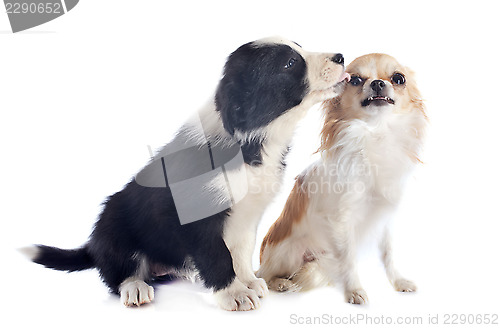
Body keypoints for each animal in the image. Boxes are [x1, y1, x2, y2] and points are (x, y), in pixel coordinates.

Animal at [23, 37, 350, 312]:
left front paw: (248, 281)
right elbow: (217, 256)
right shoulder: (196, 218)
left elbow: (241, 251)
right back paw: (135, 287)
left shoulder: (248, 214)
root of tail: (92, 246)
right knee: (119, 272)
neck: (252, 141)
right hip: (112, 225)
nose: (341, 57)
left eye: (299, 48)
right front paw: (233, 293)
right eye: (290, 63)